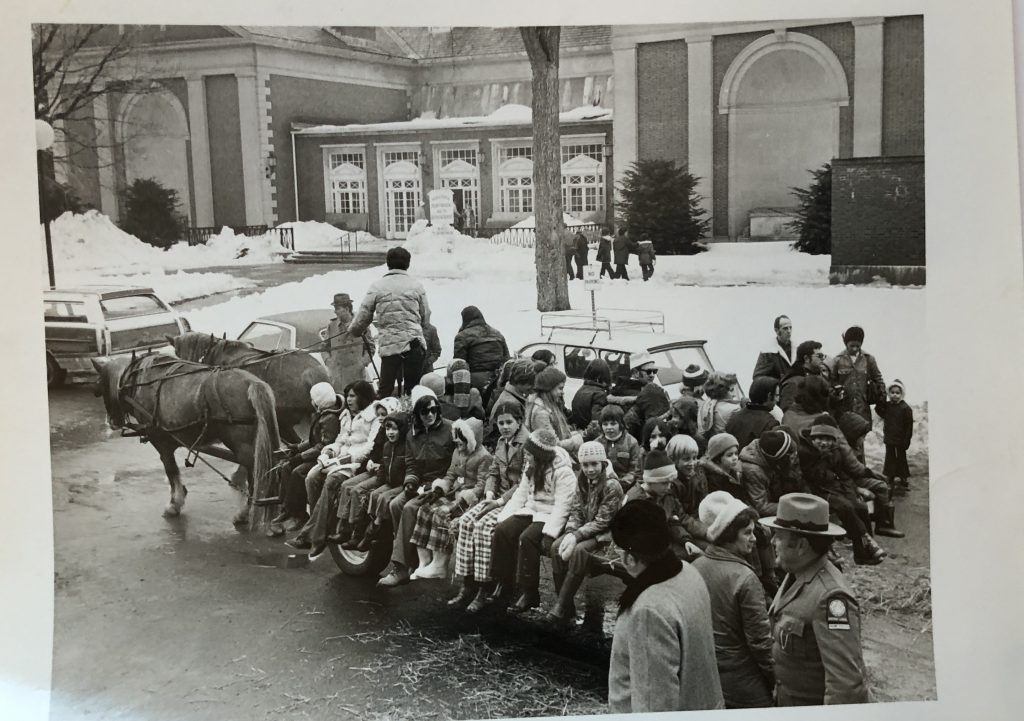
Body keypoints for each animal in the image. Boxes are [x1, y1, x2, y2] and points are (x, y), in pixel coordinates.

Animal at [93, 352, 282, 528]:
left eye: (102, 384)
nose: (112, 422)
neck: (136, 381)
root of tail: (252, 383)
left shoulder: (161, 441)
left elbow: (171, 471)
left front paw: (174, 504)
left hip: (244, 448)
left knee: (255, 477)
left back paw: (245, 513)